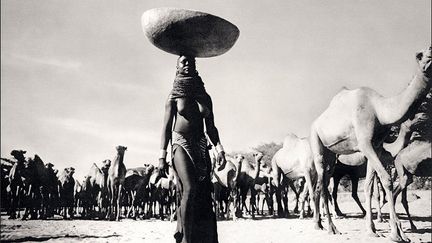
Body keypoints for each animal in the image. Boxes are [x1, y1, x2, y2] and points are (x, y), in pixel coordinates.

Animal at [308, 46, 430, 241]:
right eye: (422, 55)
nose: (425, 116)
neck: (379, 109)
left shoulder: (376, 147)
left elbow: (369, 188)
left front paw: (373, 229)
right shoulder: (365, 144)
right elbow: (386, 181)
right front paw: (396, 233)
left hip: (332, 157)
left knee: (322, 184)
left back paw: (319, 224)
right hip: (316, 142)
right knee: (323, 184)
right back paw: (332, 227)